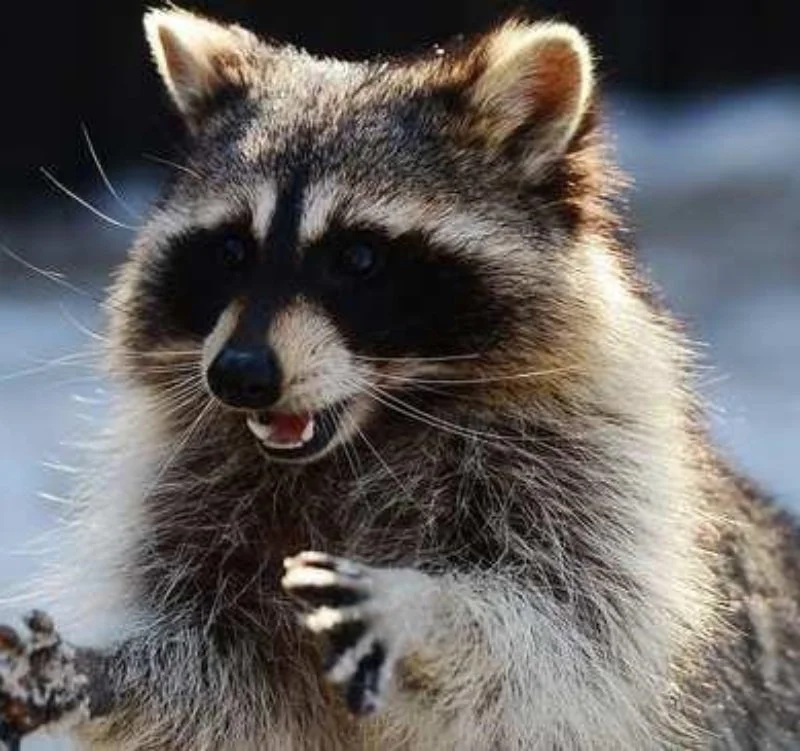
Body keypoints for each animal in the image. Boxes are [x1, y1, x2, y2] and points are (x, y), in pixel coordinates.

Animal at [1, 6, 799, 750]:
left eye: (357, 258)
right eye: (230, 251)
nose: (239, 374)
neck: (371, 431)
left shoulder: (605, 488)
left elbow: (557, 643)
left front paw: (425, 610)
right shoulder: (190, 502)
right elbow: (214, 686)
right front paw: (102, 674)